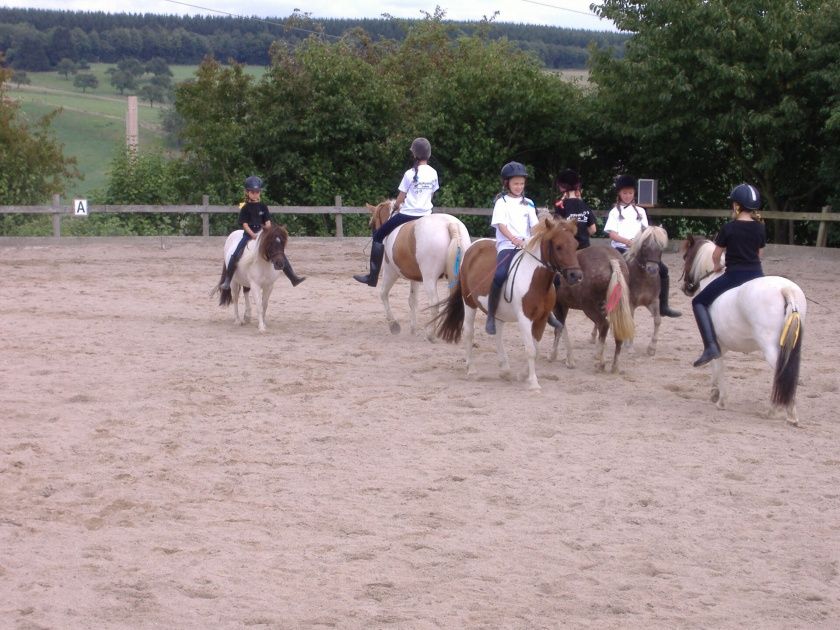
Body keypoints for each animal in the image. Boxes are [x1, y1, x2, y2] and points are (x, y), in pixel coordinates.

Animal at [366, 201, 476, 340]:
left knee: (434, 302)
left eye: (371, 224)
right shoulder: (415, 277)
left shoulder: (390, 271)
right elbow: (412, 300)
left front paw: (394, 325)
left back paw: (431, 334)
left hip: (429, 278)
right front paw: (413, 329)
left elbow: (383, 294)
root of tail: (450, 224)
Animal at [434, 217, 584, 390]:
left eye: (575, 245)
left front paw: (523, 375)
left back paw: (505, 370)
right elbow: (530, 350)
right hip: (469, 302)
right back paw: (471, 369)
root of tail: (473, 246)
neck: (535, 279)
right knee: (468, 332)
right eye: (558, 246)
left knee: (498, 334)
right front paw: (533, 383)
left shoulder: (541, 319)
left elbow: (536, 349)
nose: (576, 276)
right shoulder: (525, 318)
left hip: (498, 312)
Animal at [548, 246, 632, 376]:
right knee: (617, 330)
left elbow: (559, 329)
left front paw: (561, 358)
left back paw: (600, 362)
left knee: (604, 325)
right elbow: (560, 328)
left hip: (589, 308)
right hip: (615, 309)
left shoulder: (558, 306)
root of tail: (611, 260)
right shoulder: (563, 306)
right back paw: (614, 366)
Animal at [680, 235, 804, 428]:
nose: (687, 288)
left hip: (770, 347)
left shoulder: (716, 344)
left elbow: (717, 365)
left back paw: (775, 411)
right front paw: (714, 393)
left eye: (686, 257)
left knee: (780, 373)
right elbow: (716, 367)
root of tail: (786, 289)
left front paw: (721, 400)